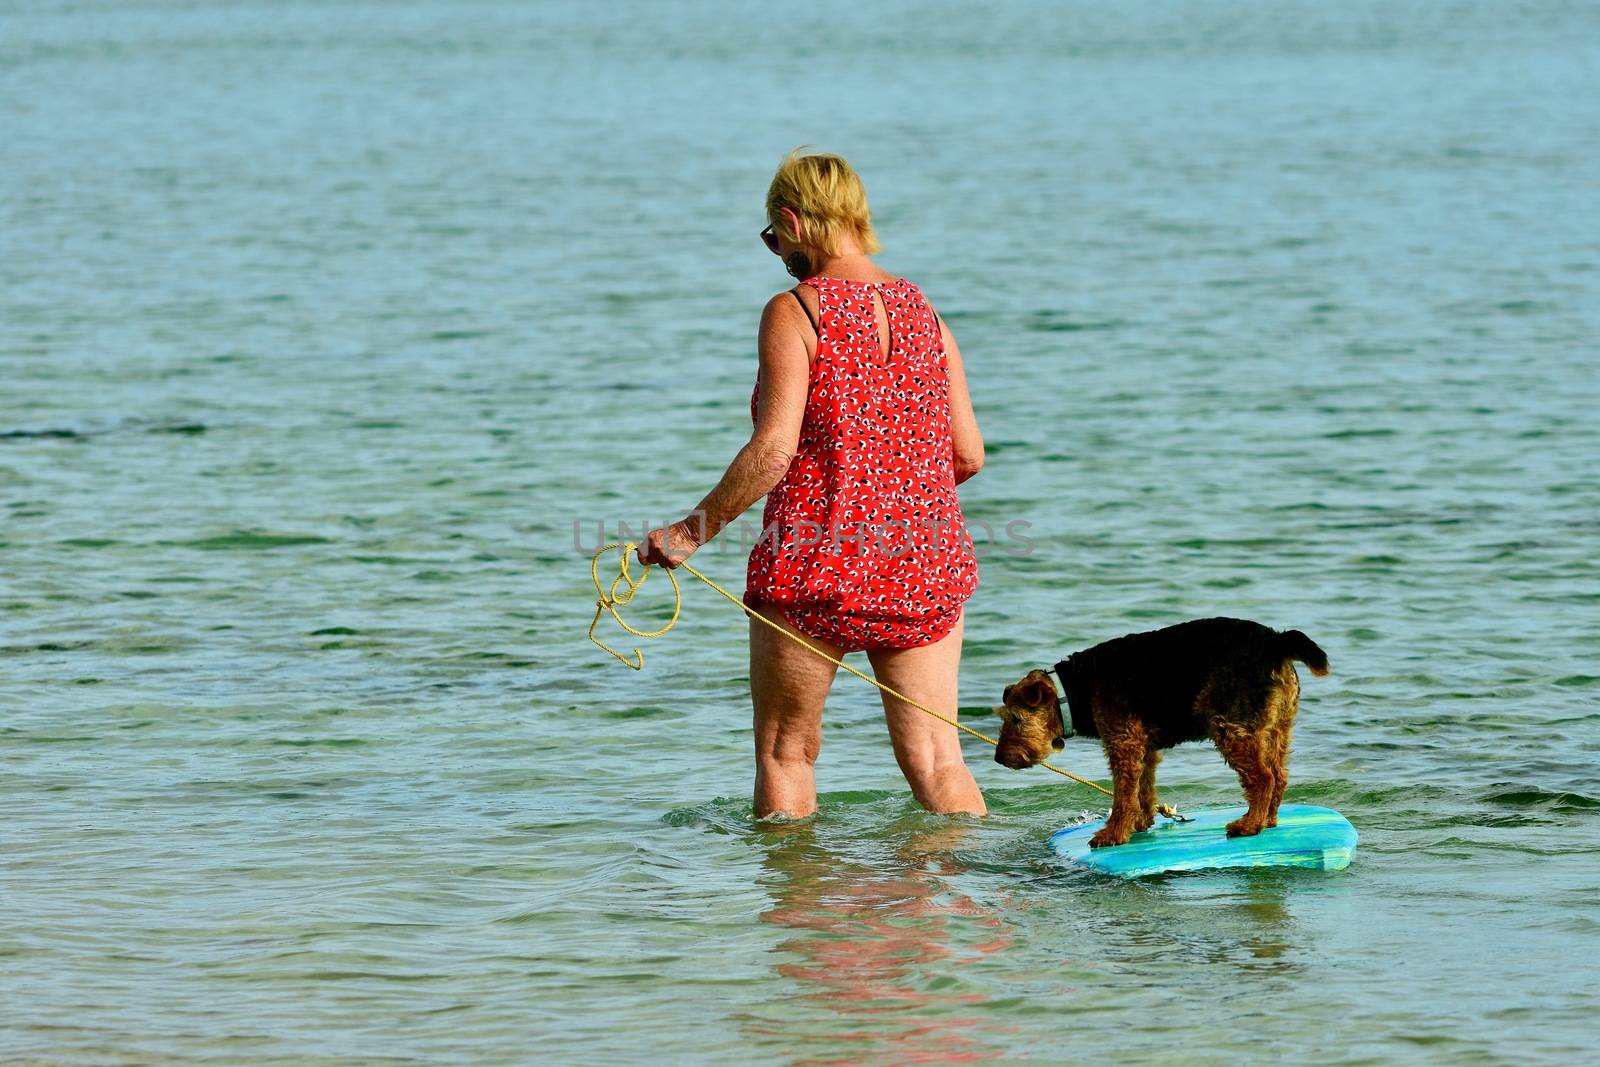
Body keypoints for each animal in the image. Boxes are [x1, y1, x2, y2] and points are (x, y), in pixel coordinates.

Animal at [992, 617, 1331, 851]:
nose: (998, 758)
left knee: (1263, 778)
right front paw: (1142, 822)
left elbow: (1123, 795)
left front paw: (1112, 834)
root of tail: (1277, 640)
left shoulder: (1123, 743)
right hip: (1275, 728)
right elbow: (1143, 790)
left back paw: (1247, 825)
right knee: (1279, 775)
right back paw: (1268, 821)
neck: (1076, 689)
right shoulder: (1143, 747)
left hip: (1230, 728)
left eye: (1016, 719)